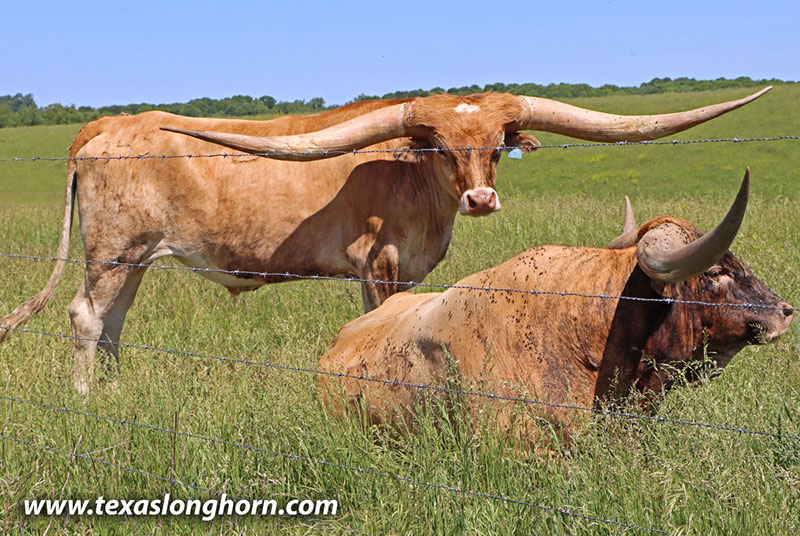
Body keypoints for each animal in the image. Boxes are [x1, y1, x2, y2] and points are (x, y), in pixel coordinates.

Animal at [0, 89, 771, 395]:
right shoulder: (379, 264)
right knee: (85, 317)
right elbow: (378, 326)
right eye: (438, 145)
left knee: (114, 324)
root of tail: (108, 123)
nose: (482, 198)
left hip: (134, 258)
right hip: (112, 252)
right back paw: (86, 399)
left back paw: (116, 392)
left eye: (496, 144)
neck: (416, 189)